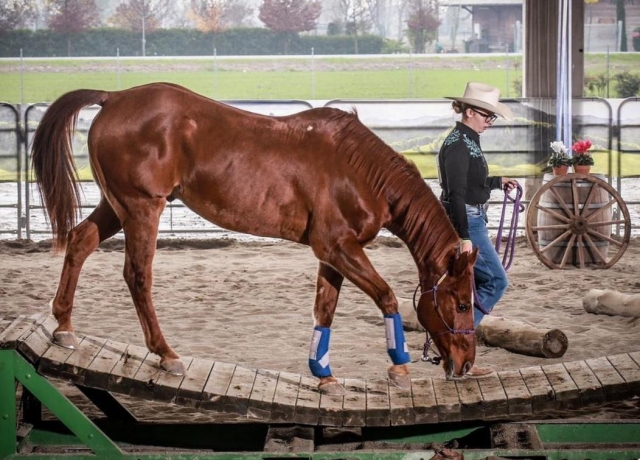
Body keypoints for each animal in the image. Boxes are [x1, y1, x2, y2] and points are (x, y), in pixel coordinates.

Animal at [31, 82, 478, 394]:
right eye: (461, 303)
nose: (466, 363)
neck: (360, 170)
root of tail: (114, 97)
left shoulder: (332, 255)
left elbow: (324, 311)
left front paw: (324, 376)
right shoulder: (338, 248)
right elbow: (386, 296)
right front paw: (398, 368)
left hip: (117, 206)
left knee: (80, 241)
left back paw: (64, 327)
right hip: (142, 208)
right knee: (137, 275)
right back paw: (165, 354)